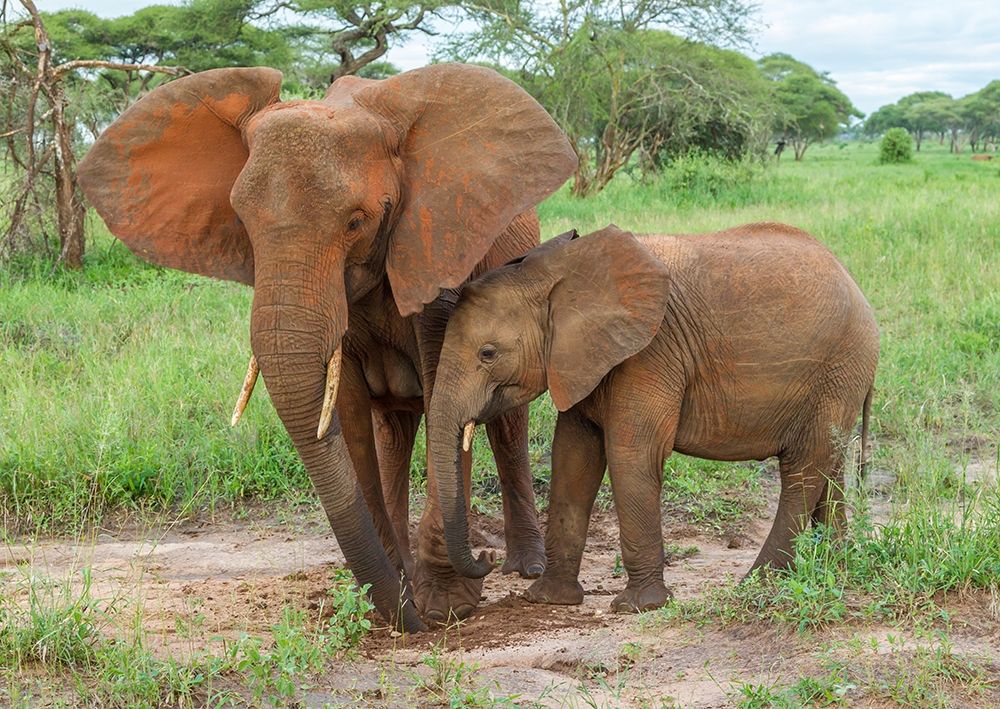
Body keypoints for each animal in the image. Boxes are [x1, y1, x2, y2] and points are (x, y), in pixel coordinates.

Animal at [77, 63, 576, 632]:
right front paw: (396, 598)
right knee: (393, 432)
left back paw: (524, 566)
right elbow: (351, 420)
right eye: (242, 222)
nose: (411, 623)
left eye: (356, 222)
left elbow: (444, 406)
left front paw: (445, 607)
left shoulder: (435, 255)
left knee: (505, 425)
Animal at [426, 223, 879, 613]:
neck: (560, 269)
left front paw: (637, 606)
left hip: (838, 367)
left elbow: (631, 454)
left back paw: (759, 583)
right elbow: (573, 458)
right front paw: (548, 600)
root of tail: (857, 286)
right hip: (838, 378)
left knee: (802, 469)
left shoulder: (650, 353)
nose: (487, 555)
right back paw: (833, 566)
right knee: (829, 465)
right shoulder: (582, 361)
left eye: (488, 353)